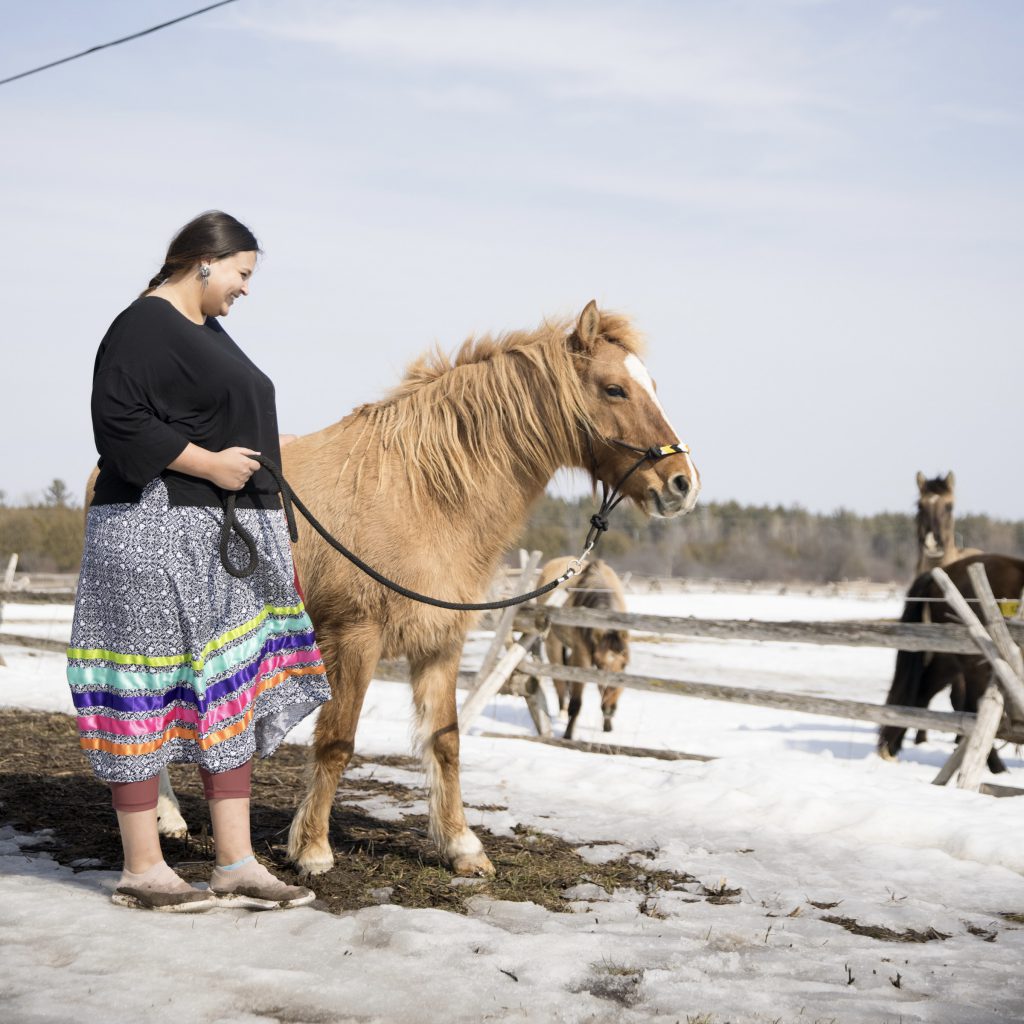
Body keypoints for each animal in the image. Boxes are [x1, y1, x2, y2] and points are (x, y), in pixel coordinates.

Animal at [536, 557, 630, 741]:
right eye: (599, 664)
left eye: (624, 664)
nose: (610, 709)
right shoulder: (583, 658)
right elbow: (576, 702)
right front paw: (568, 735)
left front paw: (607, 725)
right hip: (553, 644)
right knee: (559, 682)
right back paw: (562, 713)